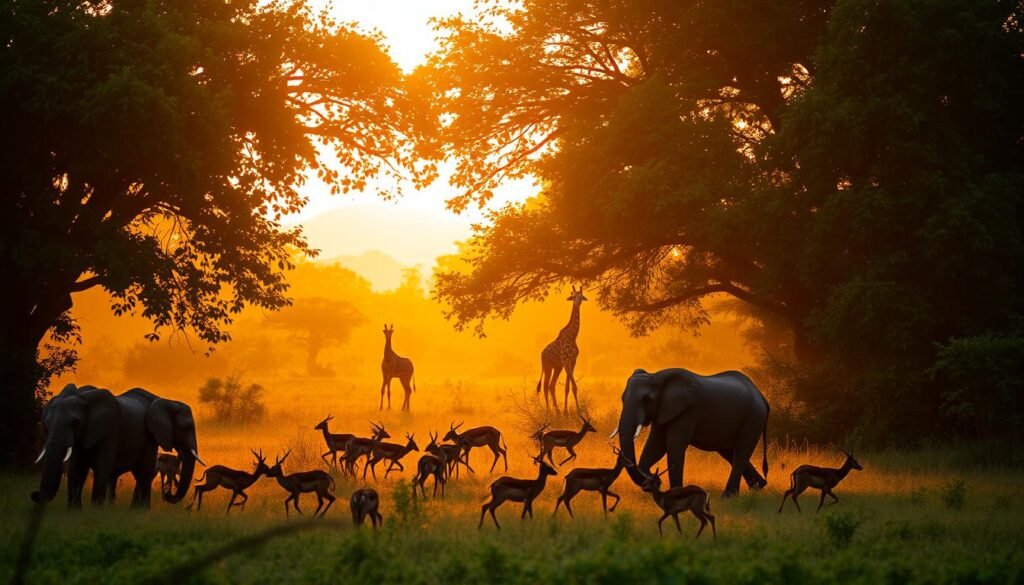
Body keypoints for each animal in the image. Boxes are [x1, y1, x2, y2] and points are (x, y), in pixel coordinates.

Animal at [31, 385, 202, 508]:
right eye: (46, 423)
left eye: (75, 423)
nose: (34, 494)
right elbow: (77, 468)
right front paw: (76, 512)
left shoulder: (115, 430)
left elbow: (103, 466)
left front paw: (94, 511)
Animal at [536, 286, 587, 414]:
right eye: (573, 296)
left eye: (581, 296)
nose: (577, 302)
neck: (573, 336)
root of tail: (541, 354)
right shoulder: (565, 361)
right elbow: (573, 386)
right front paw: (577, 413)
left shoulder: (572, 361)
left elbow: (568, 387)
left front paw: (566, 413)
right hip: (547, 367)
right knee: (545, 386)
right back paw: (549, 413)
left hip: (557, 367)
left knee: (551, 386)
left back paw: (557, 412)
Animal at [614, 368, 770, 497]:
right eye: (622, 398)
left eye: (647, 400)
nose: (656, 478)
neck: (657, 377)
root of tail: (761, 396)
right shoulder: (663, 410)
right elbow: (655, 447)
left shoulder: (688, 411)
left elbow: (674, 445)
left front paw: (676, 494)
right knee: (729, 452)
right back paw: (758, 487)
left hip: (753, 417)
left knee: (741, 451)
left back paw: (729, 495)